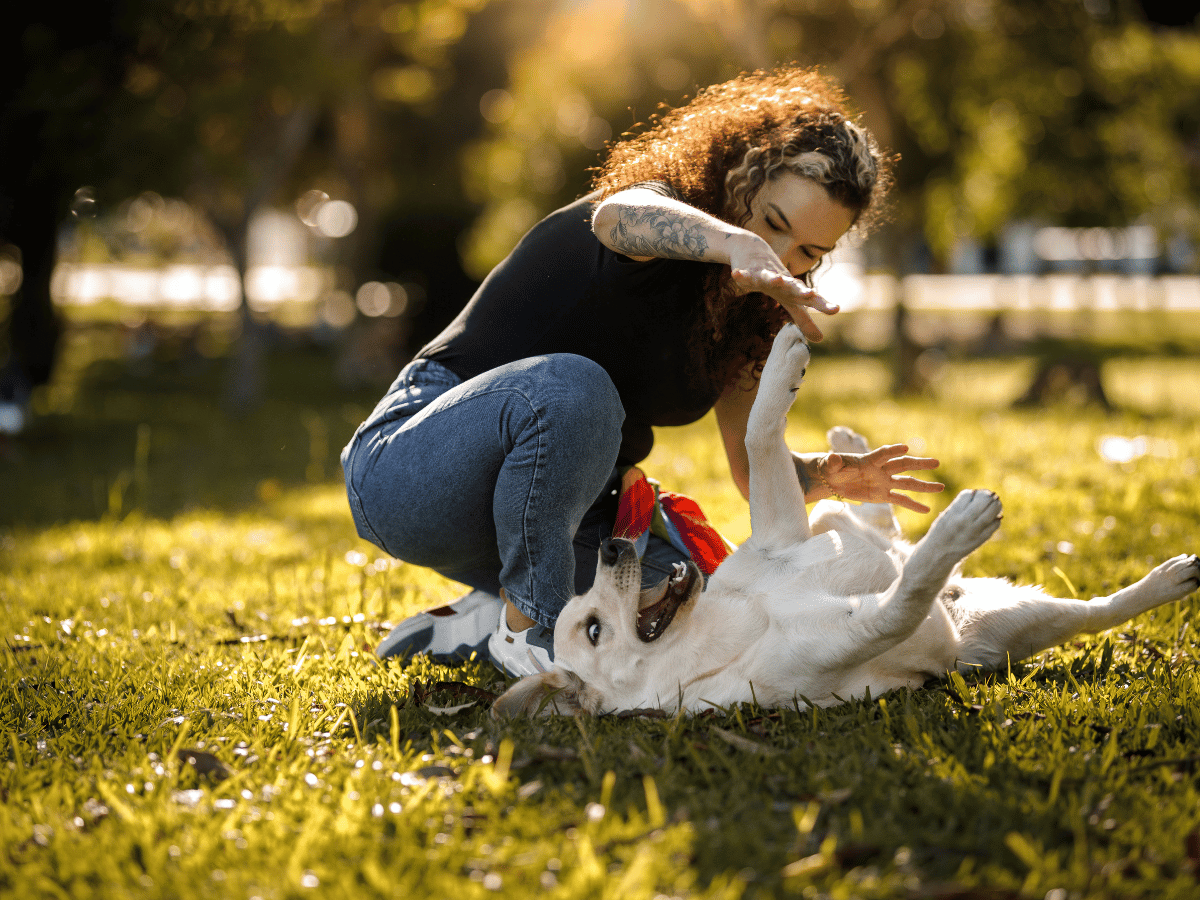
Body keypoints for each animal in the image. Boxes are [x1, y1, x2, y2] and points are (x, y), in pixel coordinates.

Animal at [489, 324, 1200, 720]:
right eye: (593, 628)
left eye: (587, 603)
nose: (611, 546)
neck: (731, 623)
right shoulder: (865, 632)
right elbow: (907, 592)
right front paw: (957, 532)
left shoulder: (783, 530)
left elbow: (760, 433)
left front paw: (782, 359)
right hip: (1015, 626)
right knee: (1092, 613)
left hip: (840, 526)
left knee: (871, 523)